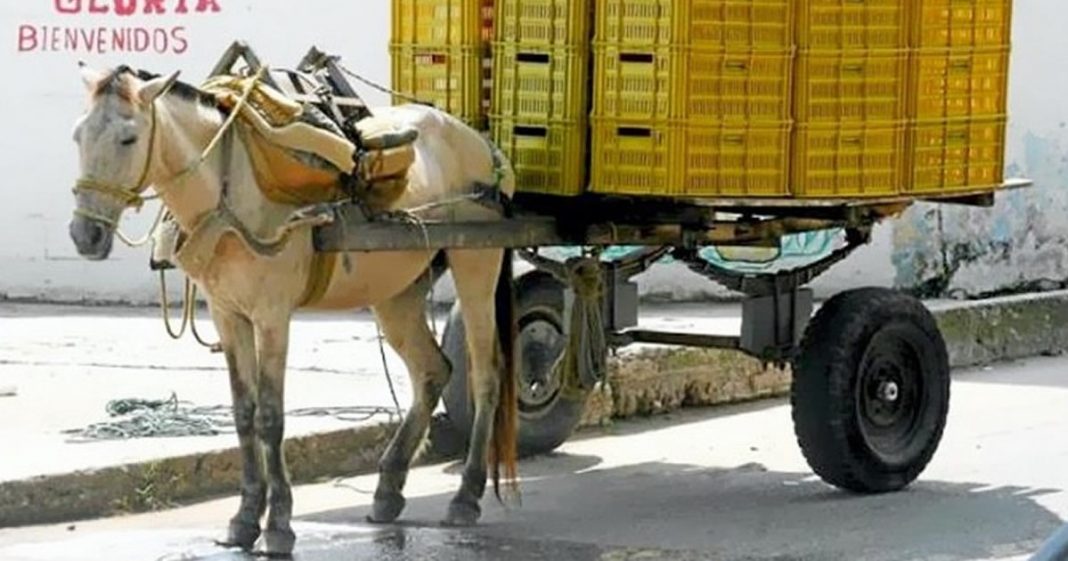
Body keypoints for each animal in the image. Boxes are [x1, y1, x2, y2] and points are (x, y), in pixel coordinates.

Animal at [66, 65, 516, 555]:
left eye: (128, 138)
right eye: (78, 135)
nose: (85, 235)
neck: (230, 188)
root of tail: (479, 142)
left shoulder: (271, 315)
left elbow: (270, 416)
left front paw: (279, 523)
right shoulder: (228, 315)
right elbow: (243, 412)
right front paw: (245, 518)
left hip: (476, 261)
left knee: (485, 375)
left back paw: (466, 495)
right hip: (397, 289)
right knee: (433, 370)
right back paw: (388, 487)